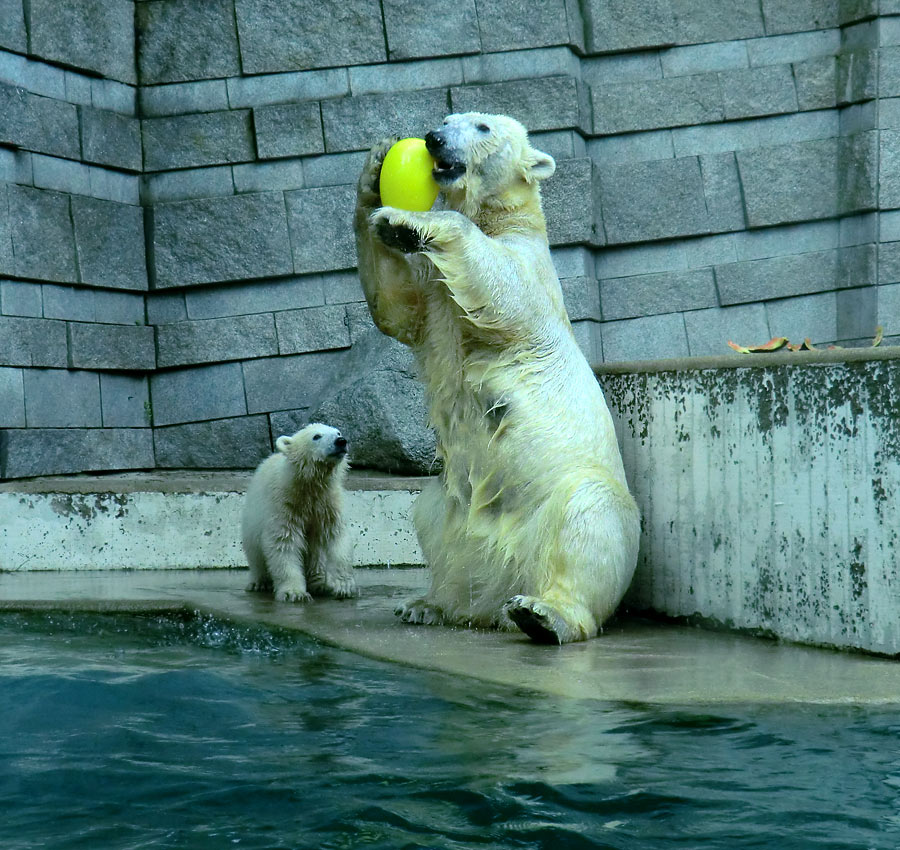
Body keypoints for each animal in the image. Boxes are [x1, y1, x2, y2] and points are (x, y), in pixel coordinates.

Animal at [352, 114, 640, 644]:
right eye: (446, 119)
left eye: (482, 126)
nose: (434, 139)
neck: (502, 218)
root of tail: (503, 581)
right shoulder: (435, 299)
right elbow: (396, 304)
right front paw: (375, 181)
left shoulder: (532, 274)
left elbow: (501, 286)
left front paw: (406, 221)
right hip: (451, 517)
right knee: (429, 516)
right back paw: (430, 604)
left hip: (566, 500)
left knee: (590, 521)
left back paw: (542, 615)